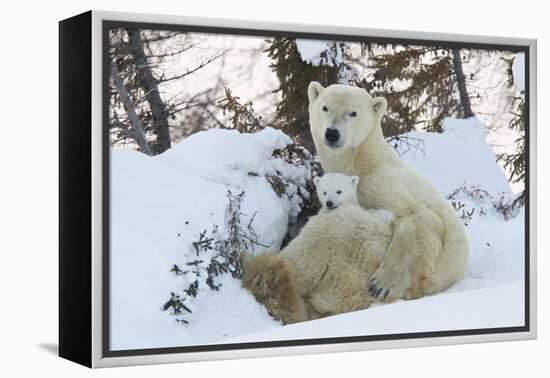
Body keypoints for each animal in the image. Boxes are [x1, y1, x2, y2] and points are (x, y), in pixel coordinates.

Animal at [310, 82, 470, 302]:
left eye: (353, 112)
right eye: (325, 107)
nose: (332, 133)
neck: (365, 164)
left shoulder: (386, 183)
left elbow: (419, 216)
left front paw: (380, 285)